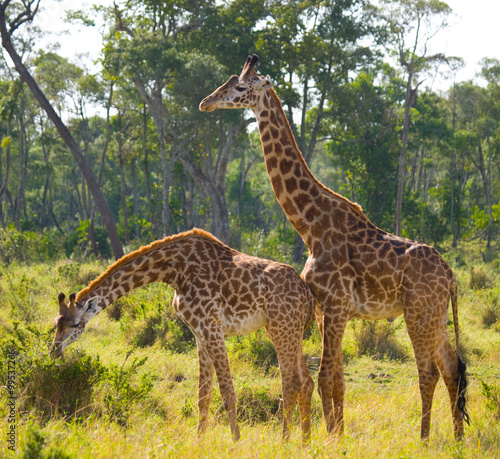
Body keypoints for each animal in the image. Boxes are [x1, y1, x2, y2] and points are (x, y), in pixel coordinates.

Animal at [52, 229, 314, 442]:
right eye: (56, 322)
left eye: (76, 324)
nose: (54, 351)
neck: (173, 271)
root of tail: (308, 294)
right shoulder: (199, 332)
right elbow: (203, 395)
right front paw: (199, 441)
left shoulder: (211, 327)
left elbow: (227, 392)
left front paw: (236, 442)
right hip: (290, 330)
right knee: (306, 382)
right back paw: (305, 442)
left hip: (281, 327)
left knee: (291, 383)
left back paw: (285, 442)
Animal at [199, 55, 468, 440]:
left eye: (238, 87)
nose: (206, 102)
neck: (311, 226)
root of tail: (451, 276)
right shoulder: (329, 309)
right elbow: (336, 378)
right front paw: (334, 434)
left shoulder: (337, 305)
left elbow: (328, 377)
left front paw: (331, 438)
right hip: (435, 314)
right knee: (452, 366)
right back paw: (458, 437)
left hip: (418, 312)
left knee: (429, 371)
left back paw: (425, 439)